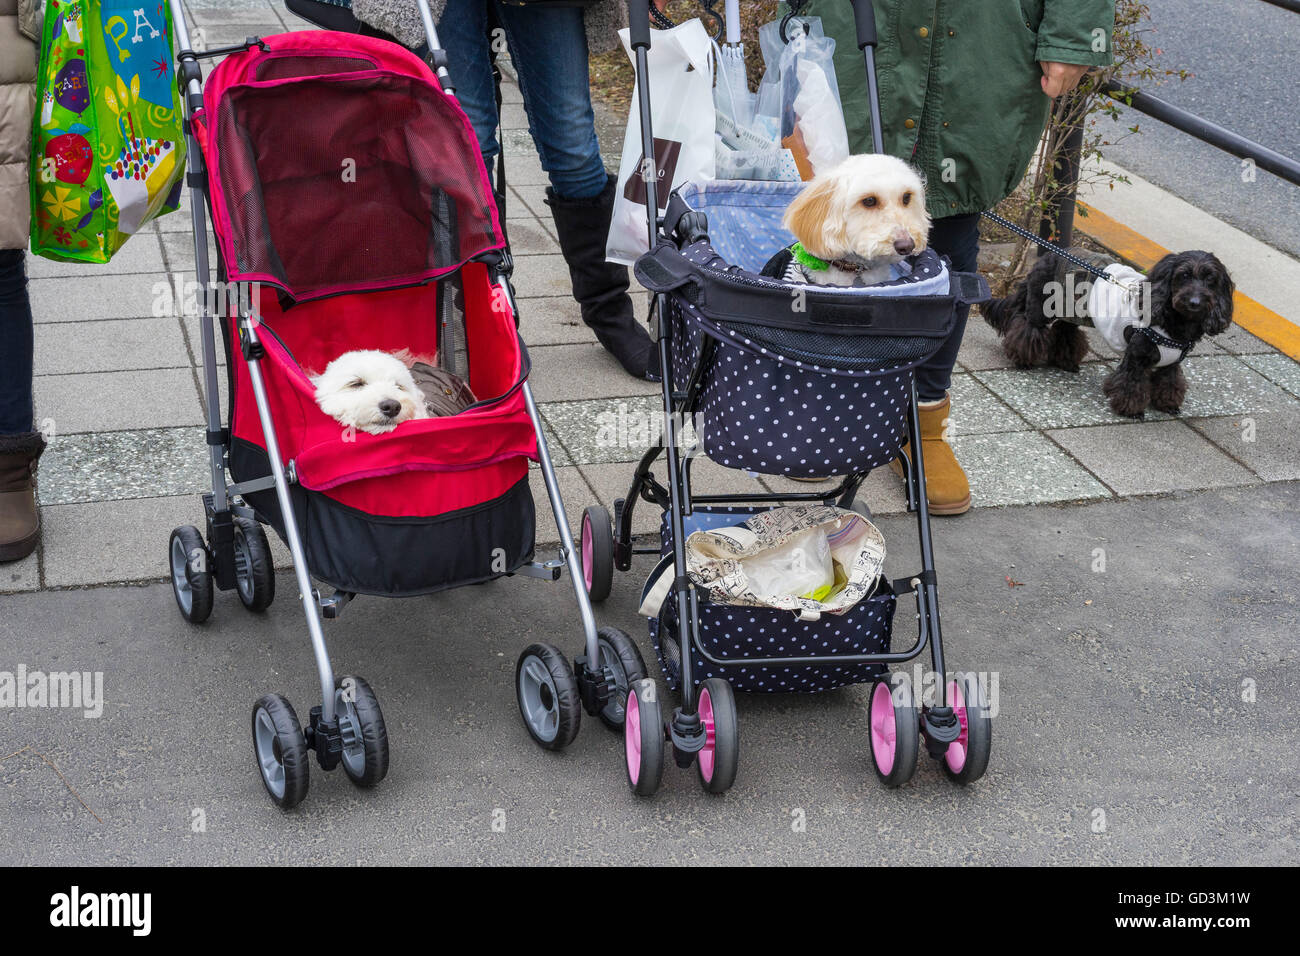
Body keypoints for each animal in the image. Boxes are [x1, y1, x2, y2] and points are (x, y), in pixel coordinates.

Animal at [982, 251, 1227, 418]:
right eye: (1183, 275)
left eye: (1210, 279)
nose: (1195, 302)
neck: (1174, 324)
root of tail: (1048, 254)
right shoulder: (1136, 357)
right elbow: (1130, 383)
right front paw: (1131, 410)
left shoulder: (1171, 363)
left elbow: (1170, 382)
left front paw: (1168, 404)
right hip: (1041, 307)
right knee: (1027, 328)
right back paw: (1023, 359)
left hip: (1073, 310)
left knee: (1064, 330)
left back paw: (1066, 361)